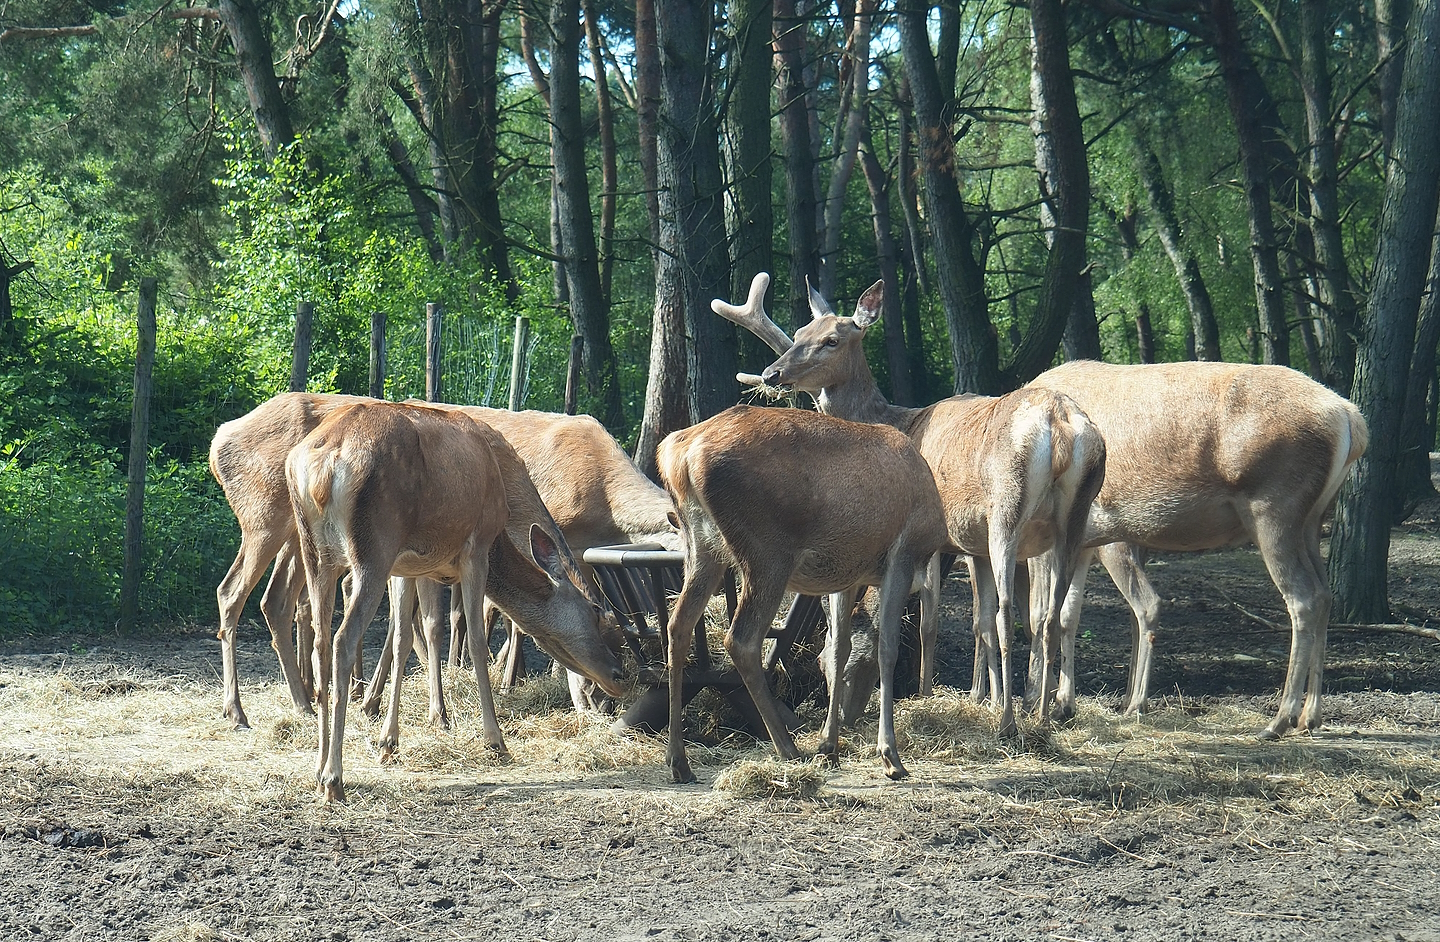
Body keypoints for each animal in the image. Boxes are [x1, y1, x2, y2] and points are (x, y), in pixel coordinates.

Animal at [286, 399, 627, 801]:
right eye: (595, 612)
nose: (620, 677)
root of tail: (321, 470)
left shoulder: (405, 566)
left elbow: (402, 638)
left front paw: (389, 742)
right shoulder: (475, 547)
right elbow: (477, 640)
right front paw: (496, 741)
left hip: (317, 553)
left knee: (321, 642)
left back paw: (318, 767)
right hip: (373, 547)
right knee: (342, 638)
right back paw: (333, 779)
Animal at [657, 404, 948, 782]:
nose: (851, 717)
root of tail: (680, 456)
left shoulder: (848, 575)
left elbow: (837, 648)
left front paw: (830, 746)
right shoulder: (902, 555)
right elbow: (887, 648)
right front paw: (890, 756)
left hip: (701, 547)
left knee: (678, 625)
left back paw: (678, 759)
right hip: (767, 552)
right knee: (741, 639)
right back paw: (787, 746)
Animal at [712, 273, 1105, 735]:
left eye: (832, 340)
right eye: (801, 331)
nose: (772, 373)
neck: (899, 418)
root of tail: (1061, 425)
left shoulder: (934, 535)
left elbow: (931, 622)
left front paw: (927, 692)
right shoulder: (969, 543)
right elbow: (979, 621)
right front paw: (982, 697)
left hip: (1007, 510)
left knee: (1014, 612)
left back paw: (1011, 721)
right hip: (1074, 519)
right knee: (1050, 615)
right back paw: (1045, 712)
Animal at [1023, 359, 1368, 739]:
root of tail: (1350, 419)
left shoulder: (1060, 540)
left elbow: (1040, 615)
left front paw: (1033, 701)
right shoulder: (1085, 544)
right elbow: (1069, 616)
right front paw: (1063, 704)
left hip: (1275, 509)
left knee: (1303, 597)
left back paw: (1279, 719)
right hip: (1312, 520)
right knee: (1324, 593)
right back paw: (1310, 716)